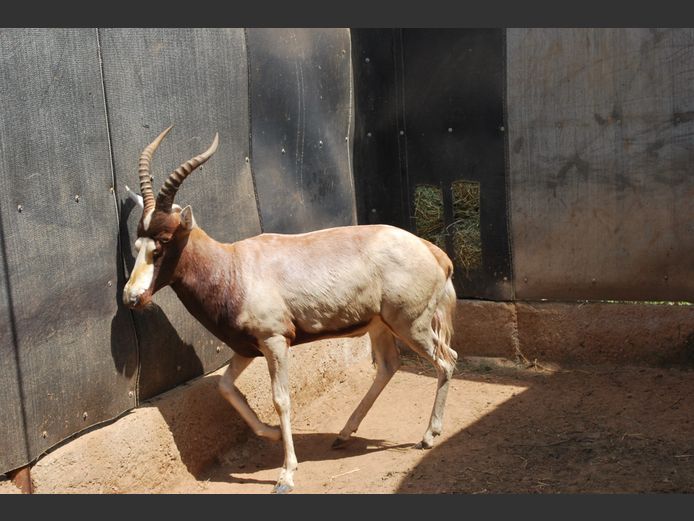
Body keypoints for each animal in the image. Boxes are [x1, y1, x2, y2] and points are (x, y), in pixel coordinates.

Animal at [123, 126, 462, 492]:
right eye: (138, 244)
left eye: (162, 244)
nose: (131, 298)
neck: (234, 266)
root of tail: (434, 253)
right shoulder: (246, 348)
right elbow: (225, 387)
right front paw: (271, 434)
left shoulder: (275, 342)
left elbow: (281, 399)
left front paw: (286, 475)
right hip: (380, 326)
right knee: (388, 366)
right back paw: (343, 435)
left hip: (411, 325)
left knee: (446, 360)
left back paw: (428, 437)